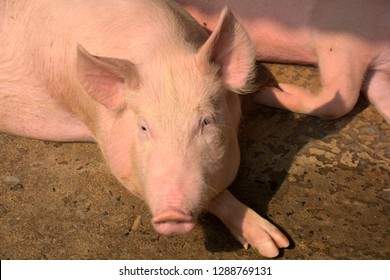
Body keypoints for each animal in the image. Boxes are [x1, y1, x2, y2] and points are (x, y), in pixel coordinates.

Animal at [0, 0, 288, 258]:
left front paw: (276, 245)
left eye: (206, 122)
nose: (172, 213)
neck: (163, 51)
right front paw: (275, 247)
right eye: (143, 127)